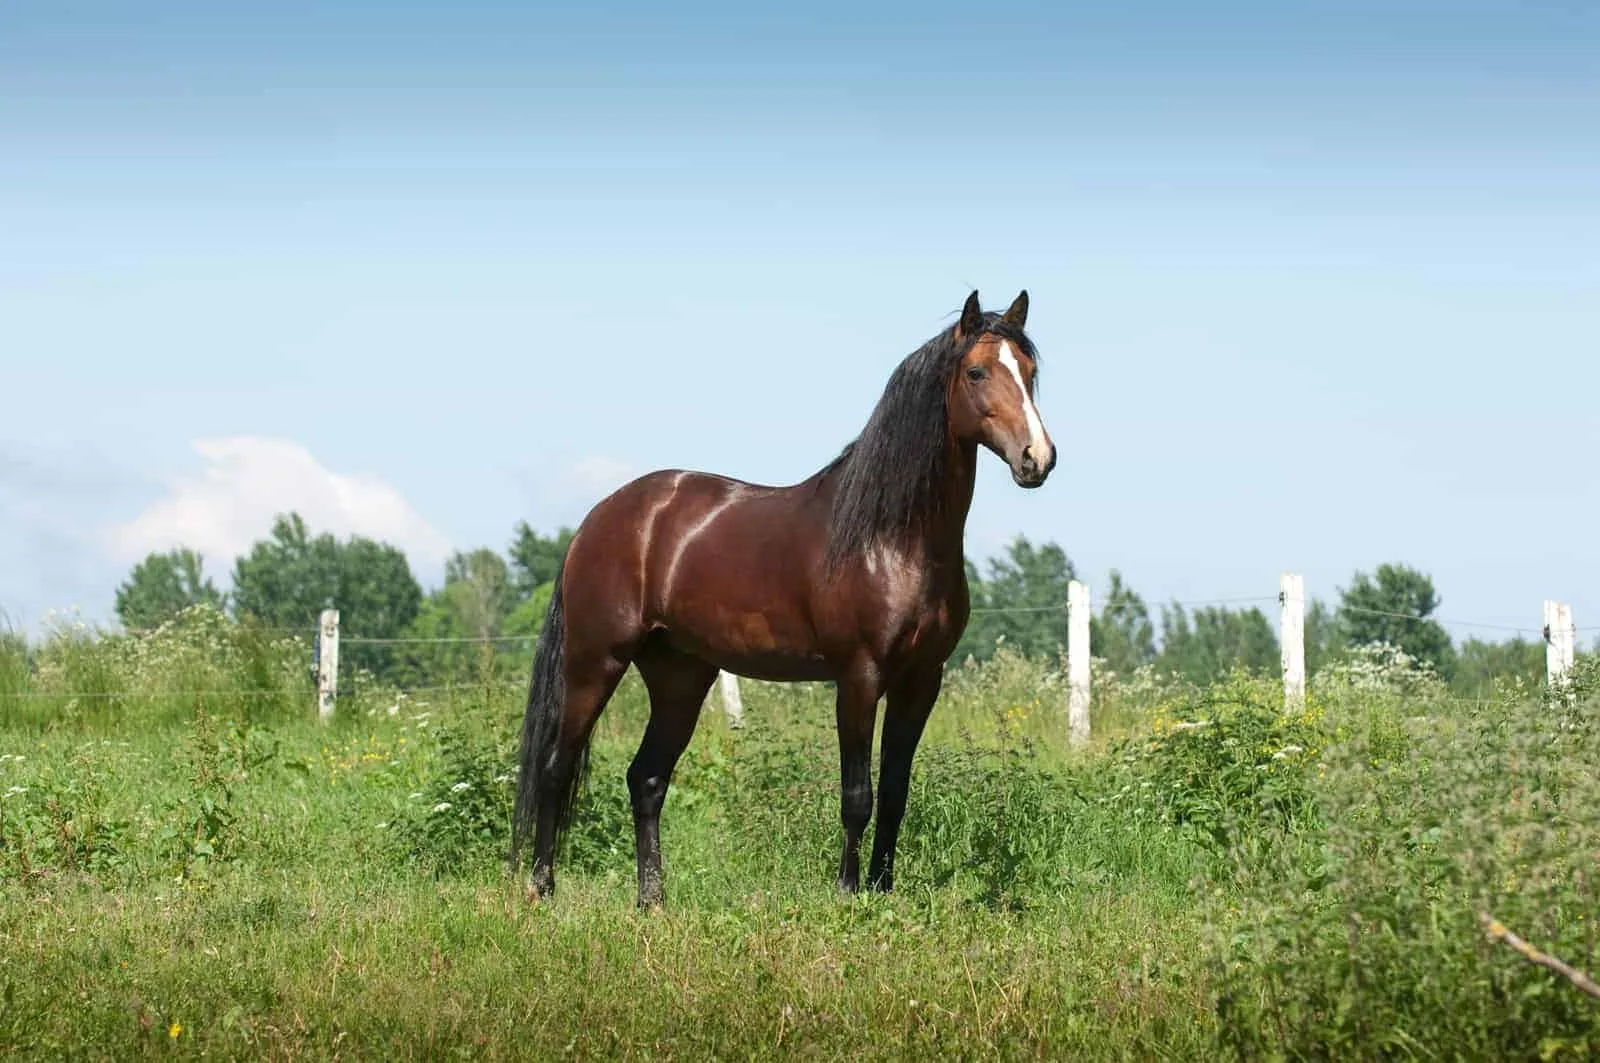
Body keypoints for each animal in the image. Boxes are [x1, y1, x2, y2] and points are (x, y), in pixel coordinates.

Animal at [511, 289, 1056, 907]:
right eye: (976, 372)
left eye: (1030, 372)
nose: (1037, 458)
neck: (894, 540)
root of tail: (600, 518)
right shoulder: (859, 676)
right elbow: (858, 795)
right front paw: (847, 891)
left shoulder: (922, 679)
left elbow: (895, 793)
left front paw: (882, 889)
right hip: (594, 662)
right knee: (556, 767)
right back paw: (542, 889)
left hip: (679, 676)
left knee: (646, 777)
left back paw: (652, 901)